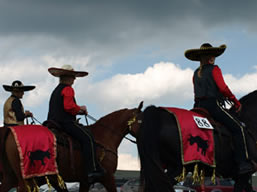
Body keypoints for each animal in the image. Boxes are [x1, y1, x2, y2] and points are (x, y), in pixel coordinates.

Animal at [0, 101, 142, 191]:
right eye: (142, 120)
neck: (103, 137)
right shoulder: (108, 178)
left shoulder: (85, 181)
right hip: (26, 179)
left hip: (12, 178)